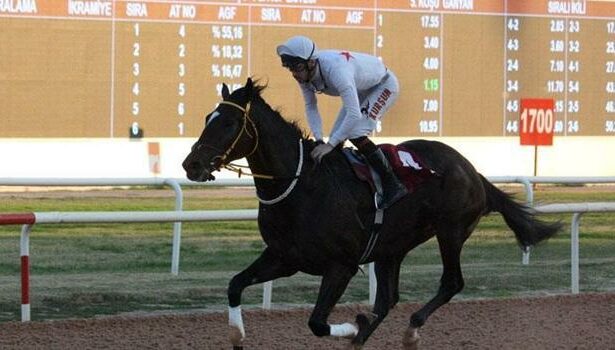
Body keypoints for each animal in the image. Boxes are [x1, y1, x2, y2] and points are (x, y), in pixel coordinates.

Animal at [180, 78, 560, 348]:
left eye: (229, 123)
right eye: (207, 118)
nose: (191, 164)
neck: (301, 186)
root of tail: (472, 169)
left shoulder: (341, 265)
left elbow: (317, 323)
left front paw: (354, 327)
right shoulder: (284, 257)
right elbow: (234, 285)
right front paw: (237, 336)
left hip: (451, 230)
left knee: (451, 282)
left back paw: (410, 330)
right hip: (392, 247)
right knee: (389, 298)